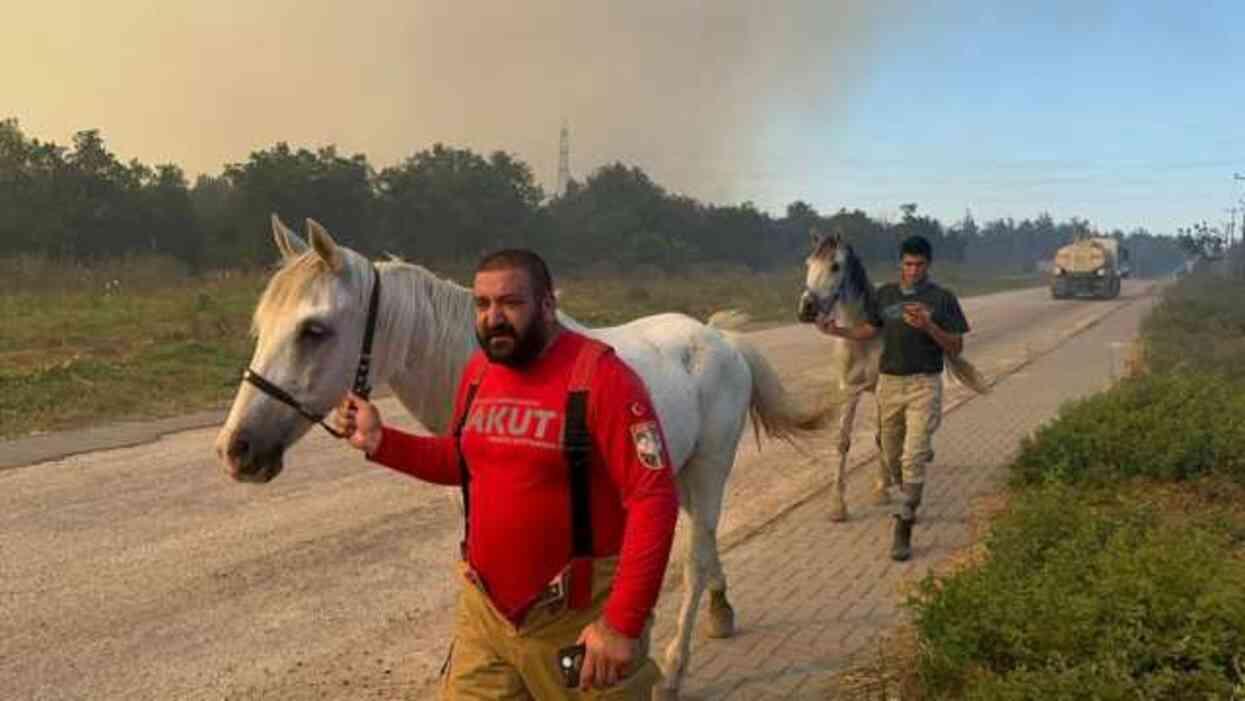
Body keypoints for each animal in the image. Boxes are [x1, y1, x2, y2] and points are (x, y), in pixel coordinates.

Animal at [216, 216, 826, 697]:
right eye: (261, 326)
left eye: (314, 329)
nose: (235, 450)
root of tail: (719, 338)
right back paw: (717, 614)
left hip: (709, 468)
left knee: (696, 557)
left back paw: (674, 669)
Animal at [796, 232, 991, 522]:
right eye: (808, 263)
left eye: (835, 266)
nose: (806, 308)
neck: (863, 341)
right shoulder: (849, 390)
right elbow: (843, 442)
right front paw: (837, 506)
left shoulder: (882, 390)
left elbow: (881, 438)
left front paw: (880, 490)